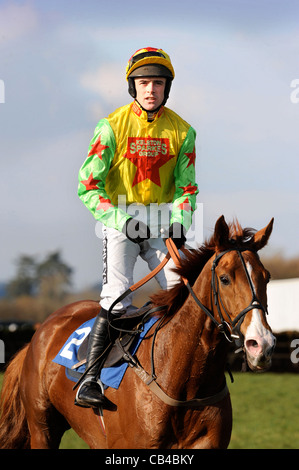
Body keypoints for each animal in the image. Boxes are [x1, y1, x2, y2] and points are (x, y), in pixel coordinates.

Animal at [0, 216, 276, 448]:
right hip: (42, 429)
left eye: (267, 277)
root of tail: (40, 332)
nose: (261, 344)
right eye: (225, 278)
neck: (184, 379)